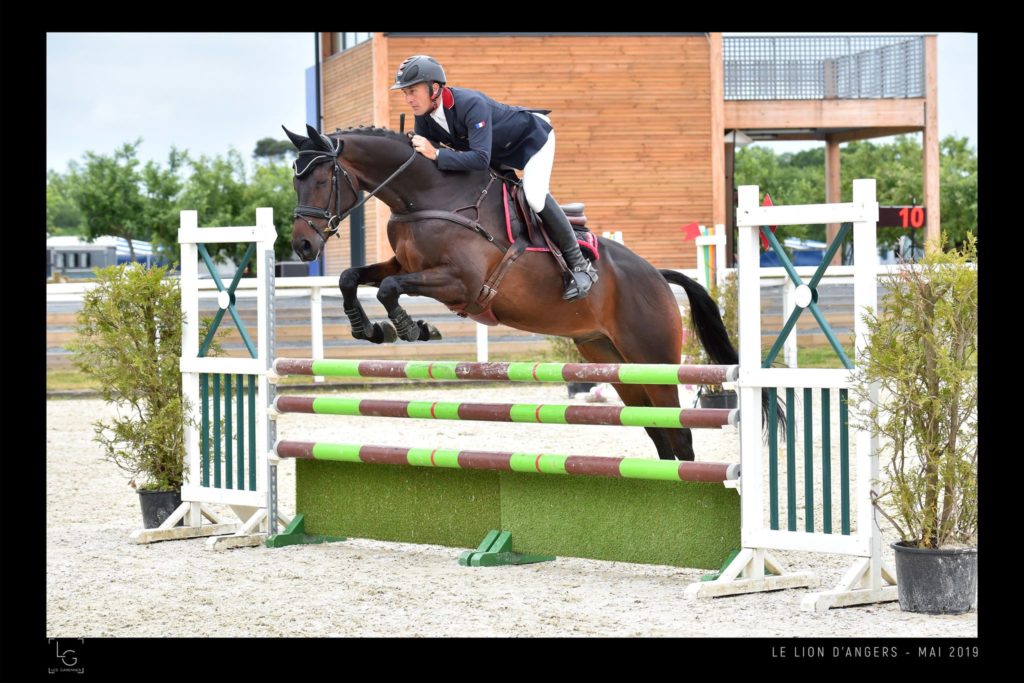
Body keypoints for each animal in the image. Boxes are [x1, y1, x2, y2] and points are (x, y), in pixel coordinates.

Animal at [284, 124, 741, 462]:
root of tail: (658, 277)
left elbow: (389, 289)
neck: (427, 195)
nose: (302, 245)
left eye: (321, 179)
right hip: (612, 360)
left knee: (680, 436)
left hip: (654, 359)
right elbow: (351, 277)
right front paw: (371, 330)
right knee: (660, 434)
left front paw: (412, 329)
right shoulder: (405, 265)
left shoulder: (460, 282)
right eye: (295, 180)